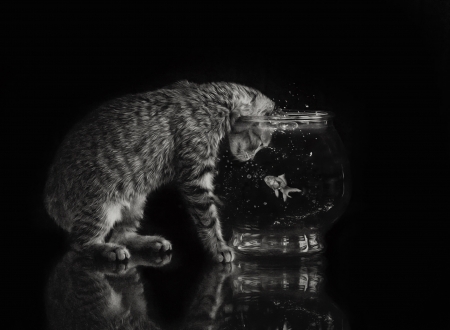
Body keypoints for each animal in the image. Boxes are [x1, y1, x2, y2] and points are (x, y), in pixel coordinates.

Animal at [44, 82, 278, 262]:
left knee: (121, 235)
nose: (251, 158)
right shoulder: (196, 176)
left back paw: (148, 242)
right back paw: (105, 249)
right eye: (260, 143)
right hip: (100, 205)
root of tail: (52, 196)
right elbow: (208, 217)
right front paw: (218, 248)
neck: (213, 99)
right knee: (79, 243)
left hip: (135, 198)